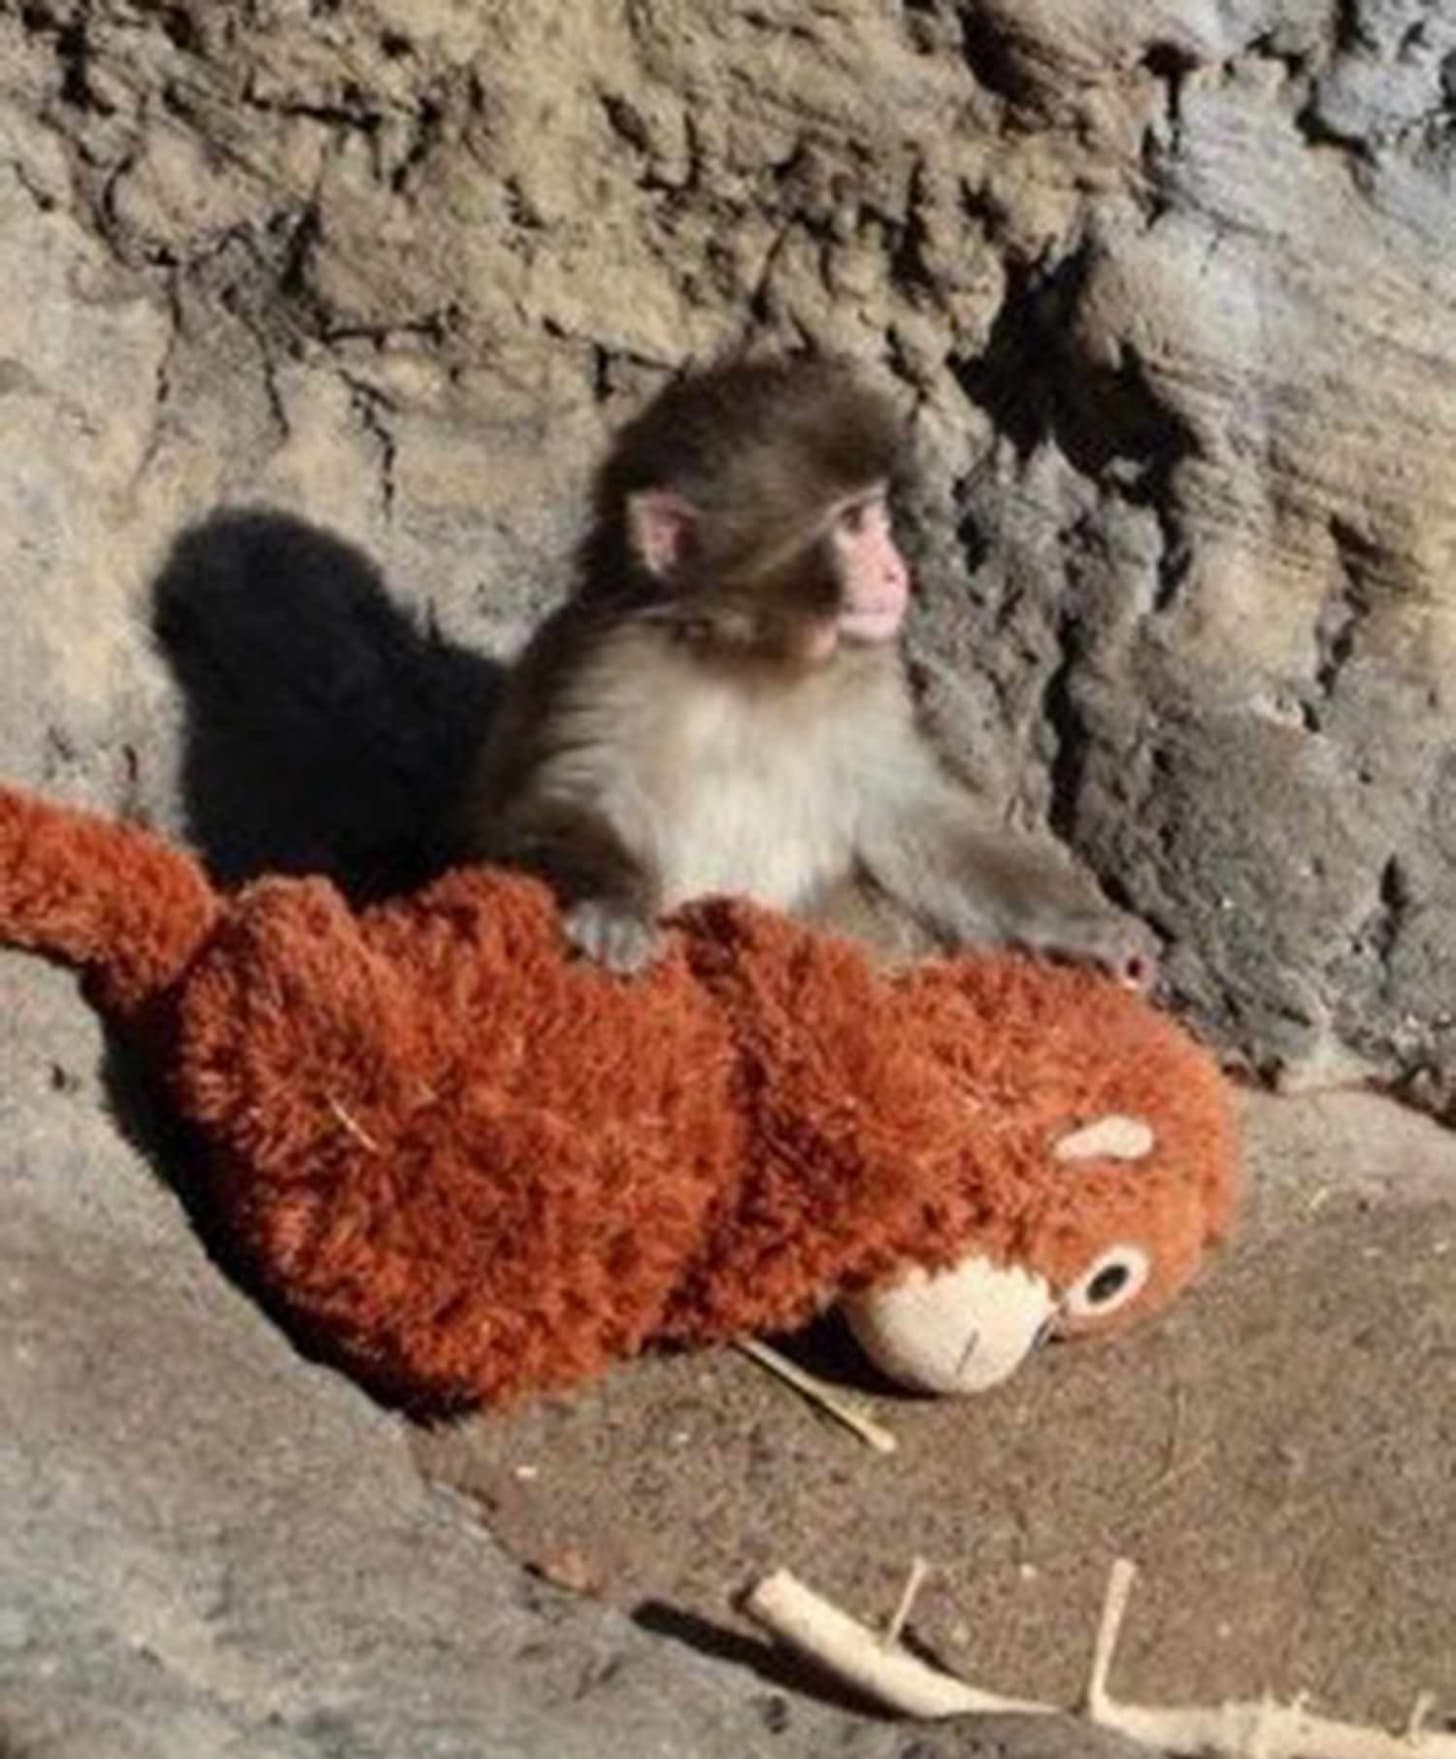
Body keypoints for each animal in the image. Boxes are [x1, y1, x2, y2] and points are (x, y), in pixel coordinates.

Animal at [459, 354, 1157, 988]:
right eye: (852, 524)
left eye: (876, 515)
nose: (895, 570)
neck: (749, 663)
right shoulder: (608, 666)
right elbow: (557, 800)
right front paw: (615, 907)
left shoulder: (870, 685)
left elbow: (914, 817)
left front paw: (1092, 931)